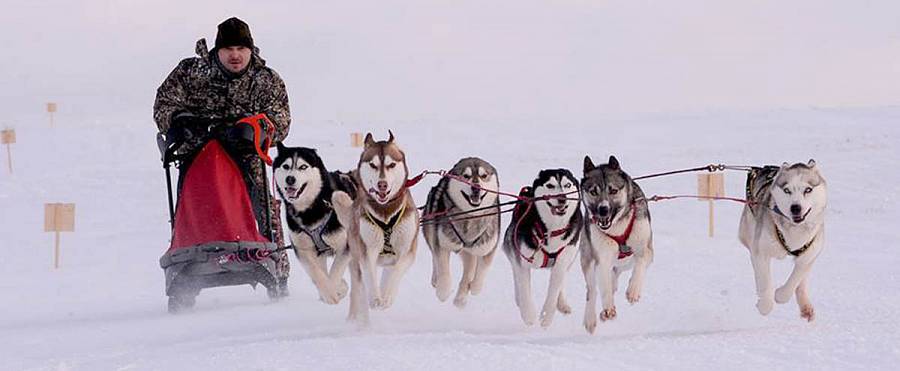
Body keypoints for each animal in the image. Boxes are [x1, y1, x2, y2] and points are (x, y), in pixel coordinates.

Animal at [272, 145, 356, 306]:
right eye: (286, 166)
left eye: (303, 167)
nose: (290, 179)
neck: (311, 209)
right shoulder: (303, 249)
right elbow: (317, 274)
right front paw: (329, 293)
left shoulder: (345, 246)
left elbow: (335, 272)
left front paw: (334, 292)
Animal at [330, 132, 418, 326]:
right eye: (373, 165)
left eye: (391, 164)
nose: (382, 185)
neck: (386, 213)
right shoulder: (367, 249)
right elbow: (370, 274)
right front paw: (376, 298)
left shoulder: (407, 250)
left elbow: (397, 271)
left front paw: (387, 297)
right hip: (355, 262)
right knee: (359, 292)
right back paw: (360, 322)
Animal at [424, 158, 502, 310]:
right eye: (466, 176)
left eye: (484, 176)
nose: (476, 187)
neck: (470, 216)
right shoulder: (442, 244)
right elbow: (443, 268)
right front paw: (443, 291)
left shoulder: (487, 247)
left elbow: (481, 270)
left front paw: (475, 287)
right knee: (435, 259)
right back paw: (437, 280)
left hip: (468, 251)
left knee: (469, 270)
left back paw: (461, 299)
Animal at [500, 169, 584, 328]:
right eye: (550, 185)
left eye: (567, 185)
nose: (562, 198)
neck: (550, 230)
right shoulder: (522, 260)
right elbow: (524, 288)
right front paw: (529, 315)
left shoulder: (562, 260)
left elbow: (554, 288)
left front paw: (546, 316)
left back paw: (562, 304)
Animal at [740, 161, 828, 322]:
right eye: (787, 190)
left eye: (808, 189)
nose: (795, 208)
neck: (794, 231)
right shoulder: (760, 252)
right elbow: (765, 282)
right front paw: (765, 305)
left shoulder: (809, 255)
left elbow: (795, 279)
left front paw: (780, 295)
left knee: (802, 283)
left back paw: (806, 306)